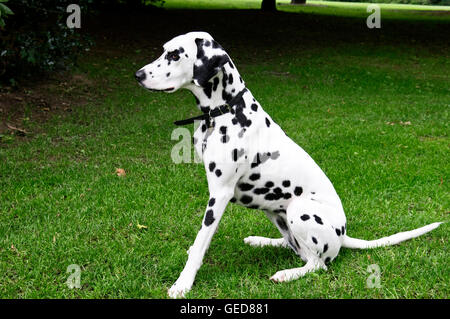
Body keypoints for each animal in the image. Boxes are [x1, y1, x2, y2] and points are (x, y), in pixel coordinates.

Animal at [134, 31, 442, 298]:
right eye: (164, 49)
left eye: (175, 54)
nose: (138, 75)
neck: (226, 110)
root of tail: (343, 236)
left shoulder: (219, 195)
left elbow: (201, 243)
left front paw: (183, 283)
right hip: (276, 213)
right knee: (295, 247)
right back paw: (261, 241)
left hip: (299, 211)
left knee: (317, 264)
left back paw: (287, 274)